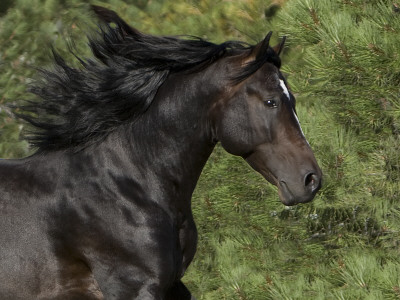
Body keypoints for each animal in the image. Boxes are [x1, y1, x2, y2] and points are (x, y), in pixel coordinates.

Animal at [0, 5, 320, 300]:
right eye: (270, 101)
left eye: (291, 99)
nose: (311, 180)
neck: (125, 185)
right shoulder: (134, 287)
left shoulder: (173, 286)